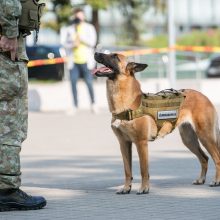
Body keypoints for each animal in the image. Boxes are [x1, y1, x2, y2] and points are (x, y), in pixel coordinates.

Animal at [92, 52, 220, 194]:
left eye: (115, 56)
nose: (95, 53)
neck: (127, 103)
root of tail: (204, 96)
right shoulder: (124, 143)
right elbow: (127, 170)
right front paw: (126, 188)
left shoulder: (141, 143)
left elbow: (143, 169)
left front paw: (144, 188)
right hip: (189, 139)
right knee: (204, 158)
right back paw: (201, 179)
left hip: (205, 136)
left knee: (217, 158)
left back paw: (216, 181)